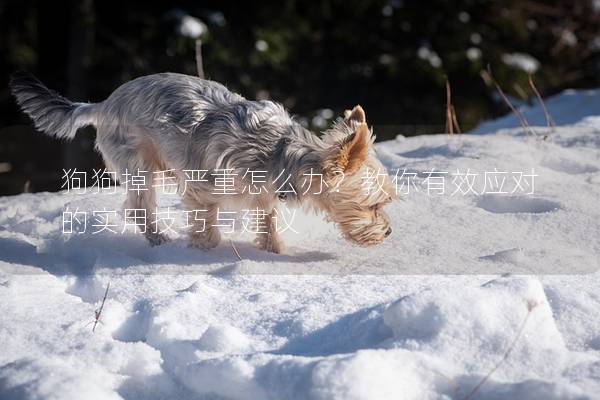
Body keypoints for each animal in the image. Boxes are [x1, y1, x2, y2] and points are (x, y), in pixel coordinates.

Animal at [9, 72, 396, 253]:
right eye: (375, 205)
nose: (390, 232)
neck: (281, 154)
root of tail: (103, 103)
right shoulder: (201, 188)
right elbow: (206, 227)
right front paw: (201, 249)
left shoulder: (264, 196)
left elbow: (268, 221)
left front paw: (273, 251)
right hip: (139, 162)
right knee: (140, 207)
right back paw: (160, 241)